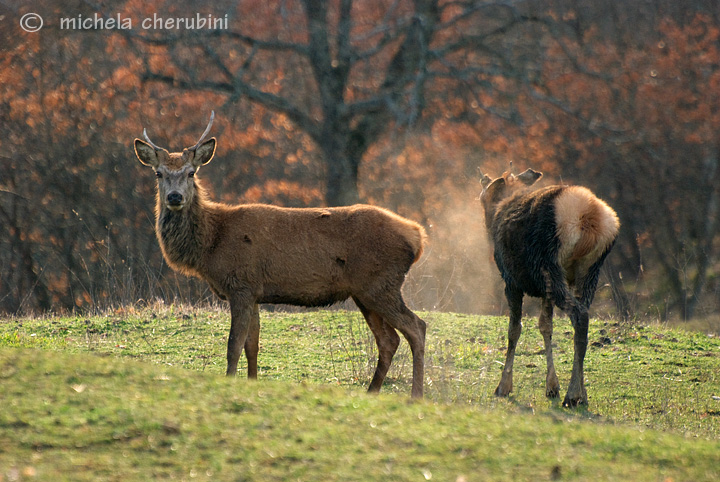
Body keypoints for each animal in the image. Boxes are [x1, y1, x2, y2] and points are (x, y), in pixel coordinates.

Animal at [134, 114, 428, 400]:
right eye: (159, 173)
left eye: (191, 172)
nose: (175, 197)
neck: (211, 244)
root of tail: (418, 236)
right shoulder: (254, 292)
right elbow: (252, 345)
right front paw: (252, 383)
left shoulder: (240, 285)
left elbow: (233, 346)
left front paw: (230, 381)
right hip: (365, 292)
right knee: (389, 340)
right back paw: (372, 391)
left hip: (380, 285)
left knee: (416, 327)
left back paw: (416, 395)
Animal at [478, 169, 620, 406]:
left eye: (481, 197)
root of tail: (589, 215)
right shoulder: (545, 291)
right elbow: (546, 326)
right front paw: (552, 386)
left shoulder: (511, 281)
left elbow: (514, 330)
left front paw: (504, 386)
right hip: (588, 272)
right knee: (582, 318)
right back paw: (582, 394)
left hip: (549, 264)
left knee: (579, 315)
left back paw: (572, 395)